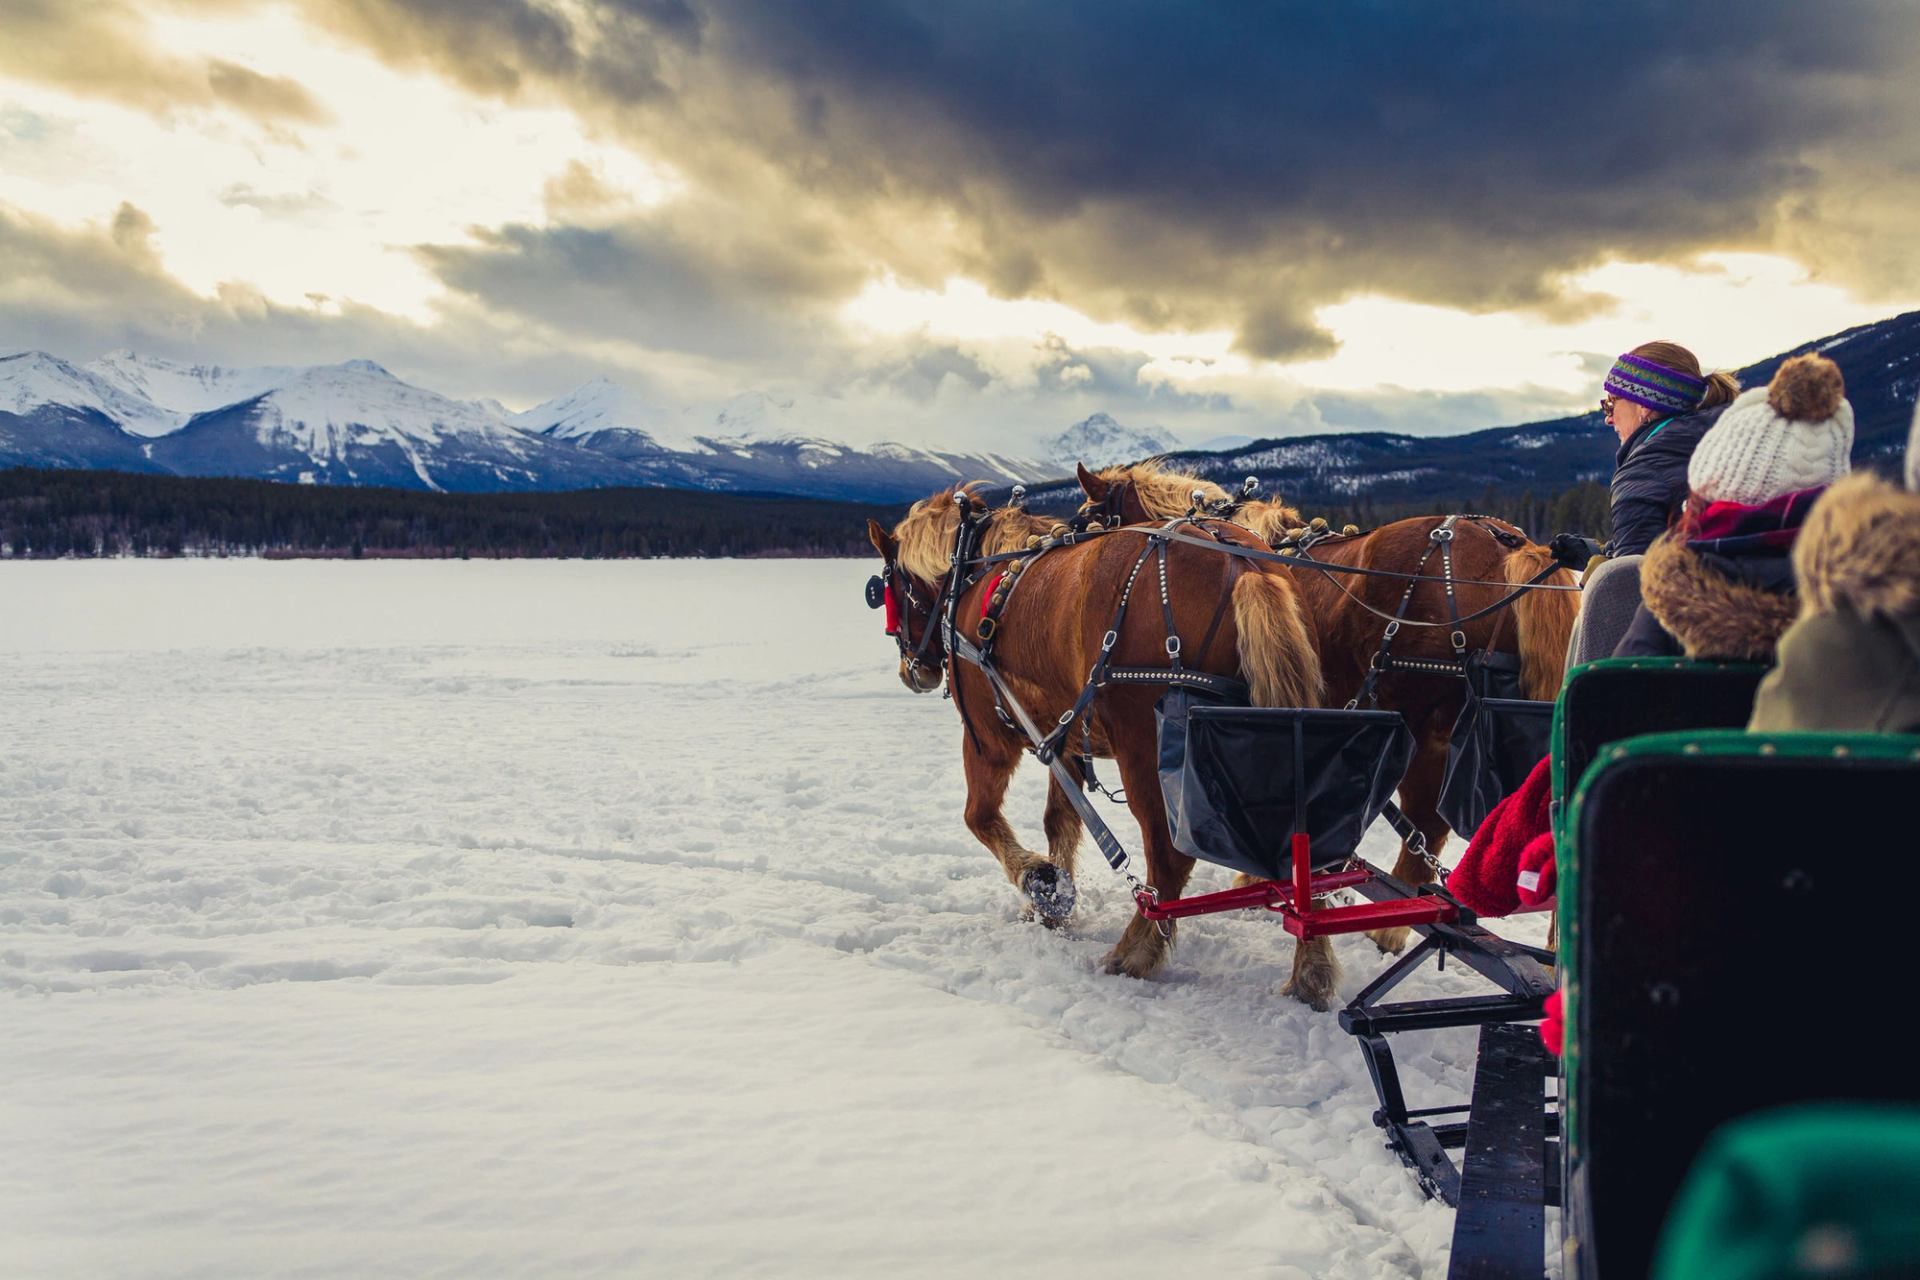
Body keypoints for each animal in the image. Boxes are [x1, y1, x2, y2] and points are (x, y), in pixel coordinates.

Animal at [871, 485, 1351, 1005]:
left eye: (888, 588)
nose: (912, 672)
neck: (976, 572)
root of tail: (1244, 566)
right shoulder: (1063, 741)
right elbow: (1059, 820)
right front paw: (1053, 905)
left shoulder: (986, 735)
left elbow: (979, 817)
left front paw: (1039, 881)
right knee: (1305, 848)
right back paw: (1311, 970)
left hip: (1143, 748)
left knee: (1168, 857)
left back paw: (1134, 951)